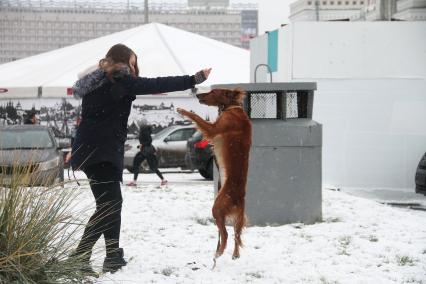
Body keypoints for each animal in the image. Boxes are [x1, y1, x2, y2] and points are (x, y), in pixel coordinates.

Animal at [177, 88, 253, 266]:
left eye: (212, 91)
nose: (197, 94)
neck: (232, 107)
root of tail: (240, 199)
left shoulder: (214, 128)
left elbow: (197, 118)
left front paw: (184, 111)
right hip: (235, 216)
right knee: (236, 235)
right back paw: (234, 255)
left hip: (217, 207)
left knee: (224, 235)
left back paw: (217, 254)